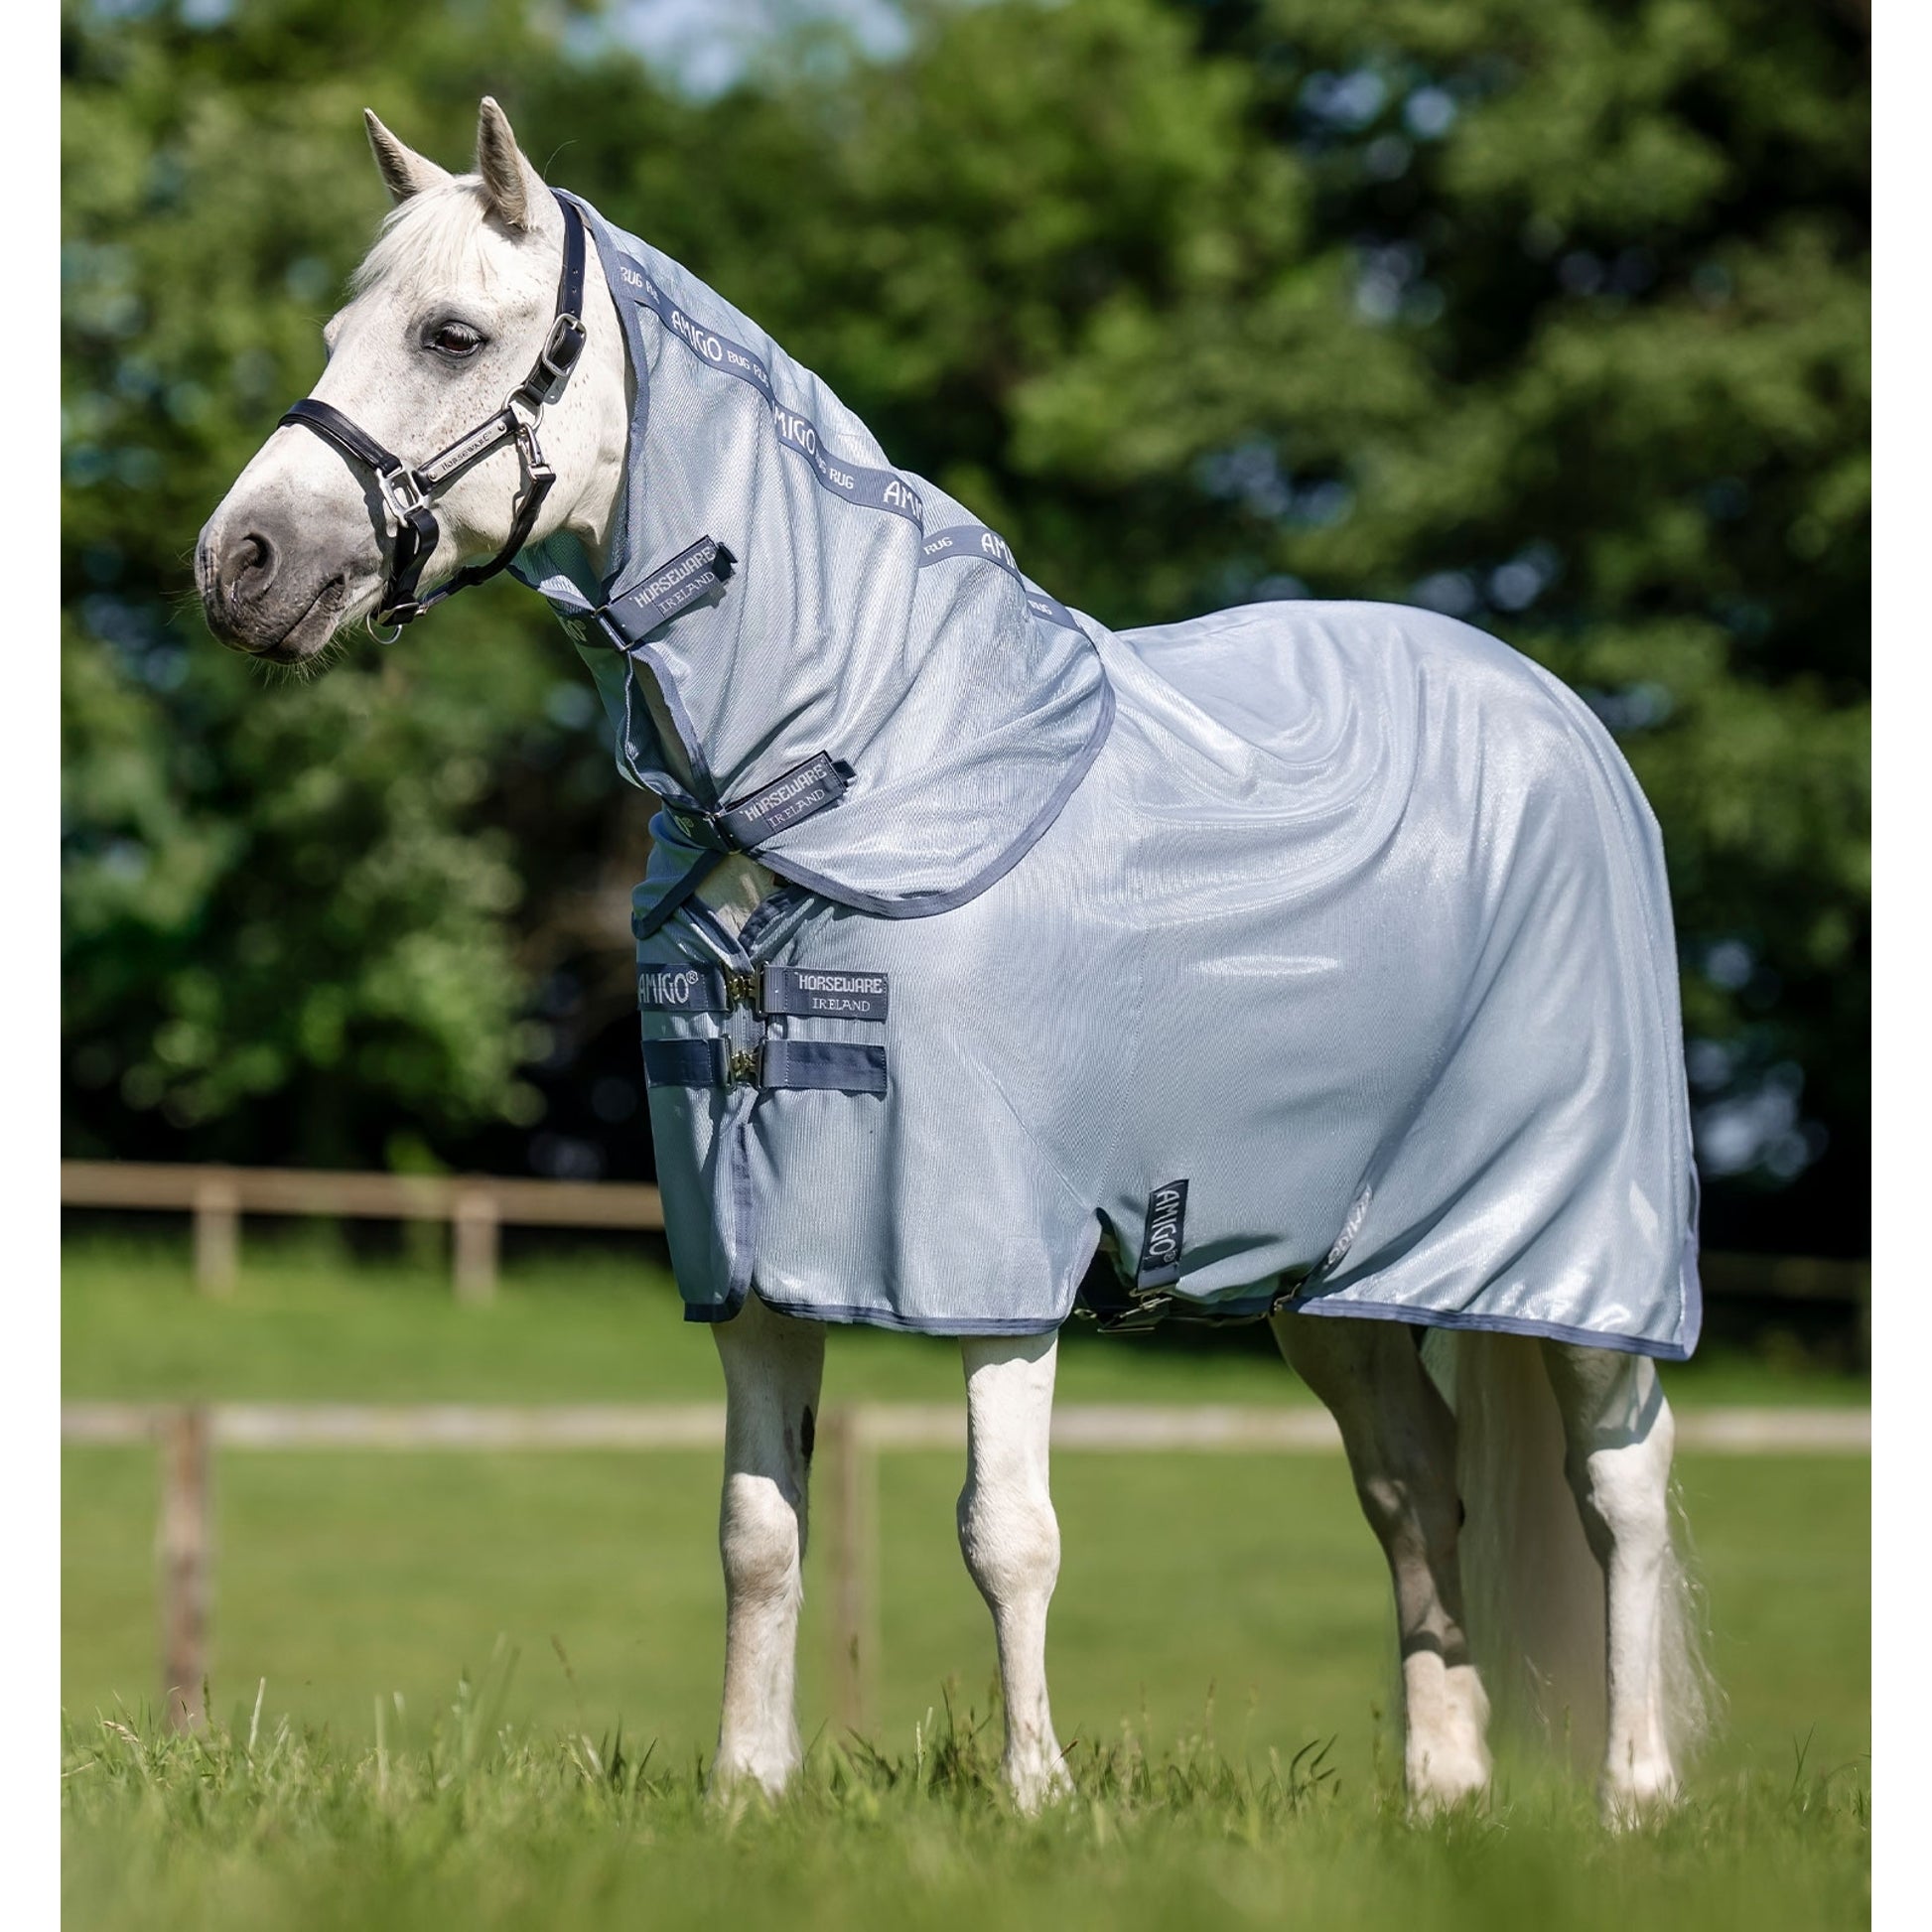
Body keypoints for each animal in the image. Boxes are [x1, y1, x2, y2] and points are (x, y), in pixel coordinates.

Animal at [197, 99, 1715, 1821]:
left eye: (451, 334)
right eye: (339, 331)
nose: (237, 563)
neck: (865, 759)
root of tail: (1558, 716)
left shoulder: (990, 1255)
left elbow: (1009, 1535)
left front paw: (1038, 1797)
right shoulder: (748, 1259)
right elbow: (757, 1533)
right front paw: (746, 1790)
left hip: (1576, 1248)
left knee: (1620, 1490)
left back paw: (1634, 1797)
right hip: (1333, 1280)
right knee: (1413, 1492)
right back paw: (1442, 1793)